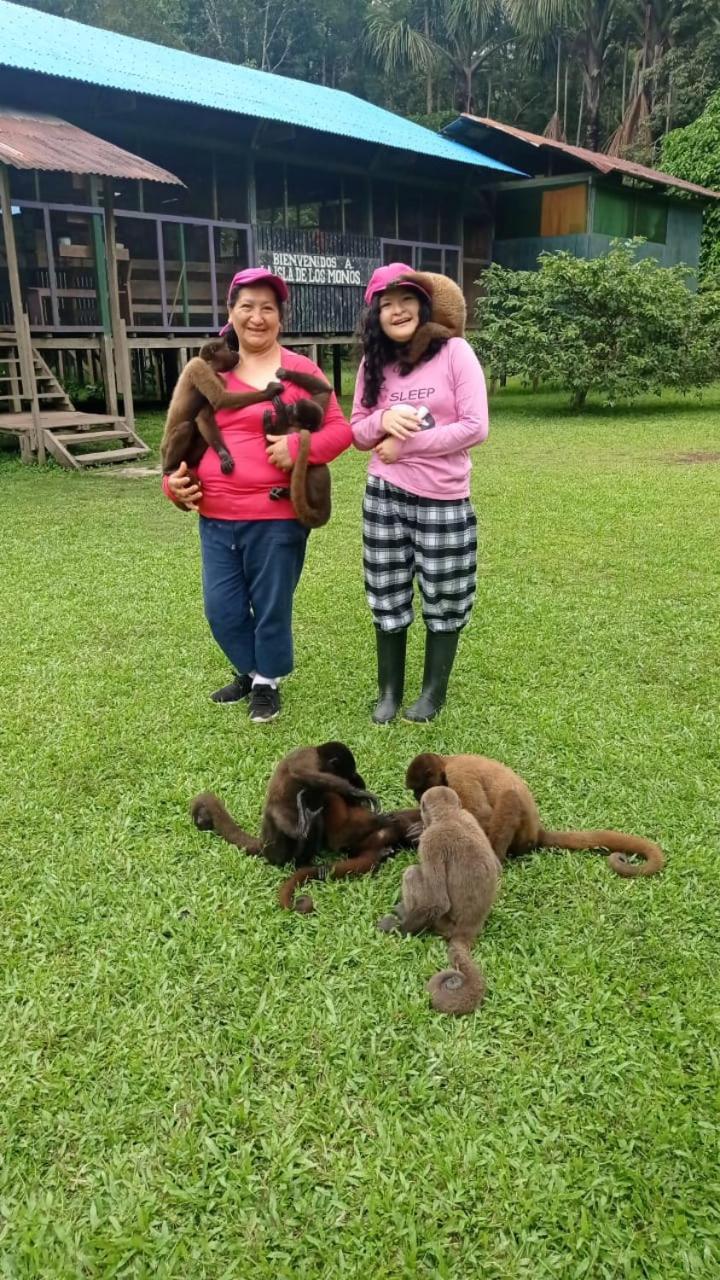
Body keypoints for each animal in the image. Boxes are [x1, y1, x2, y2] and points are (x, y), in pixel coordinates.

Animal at [160, 337, 283, 478]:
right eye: (228, 348)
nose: (235, 351)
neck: (210, 365)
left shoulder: (219, 379)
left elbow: (204, 417)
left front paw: (223, 454)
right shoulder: (198, 365)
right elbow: (220, 399)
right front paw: (269, 391)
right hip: (165, 451)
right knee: (184, 428)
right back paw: (169, 468)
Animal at [262, 368, 333, 527]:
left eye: (293, 410)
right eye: (294, 405)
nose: (289, 406)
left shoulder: (292, 430)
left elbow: (272, 447)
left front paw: (279, 413)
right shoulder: (318, 405)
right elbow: (325, 390)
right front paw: (286, 373)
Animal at [376, 783, 499, 1013]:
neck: (450, 816)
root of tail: (467, 930)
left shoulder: (431, 842)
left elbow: (438, 902)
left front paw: (396, 929)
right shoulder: (469, 816)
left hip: (442, 922)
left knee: (412, 872)